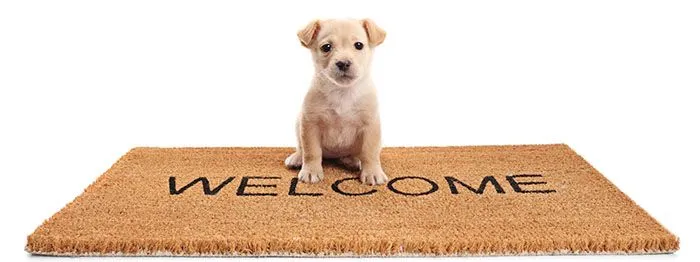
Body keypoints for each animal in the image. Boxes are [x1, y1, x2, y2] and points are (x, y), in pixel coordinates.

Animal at [284, 18, 388, 185]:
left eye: (359, 45)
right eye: (326, 47)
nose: (343, 63)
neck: (342, 92)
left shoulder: (370, 126)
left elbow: (370, 152)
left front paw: (372, 172)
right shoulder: (310, 123)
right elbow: (311, 151)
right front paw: (311, 171)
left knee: (354, 154)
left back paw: (353, 160)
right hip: (298, 122)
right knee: (301, 148)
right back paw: (297, 158)